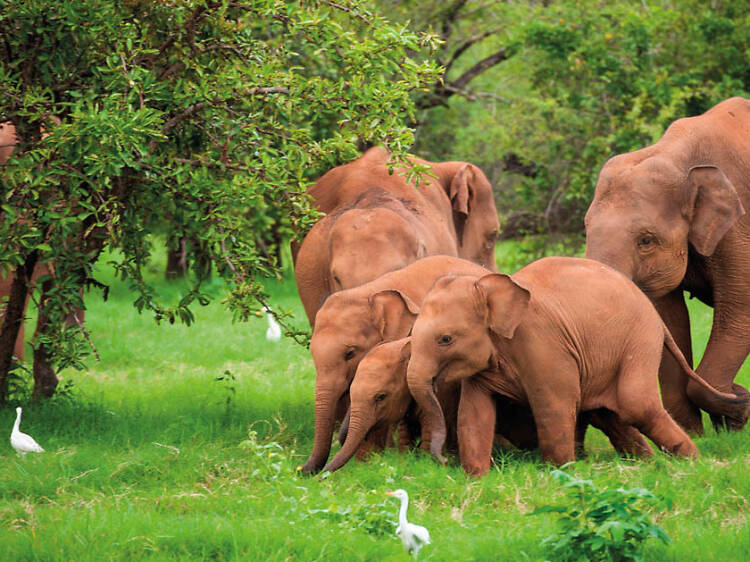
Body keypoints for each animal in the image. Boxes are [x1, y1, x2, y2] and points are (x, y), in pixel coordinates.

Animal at [406, 258, 750, 472]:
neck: (487, 286)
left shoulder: (543, 344)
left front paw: (562, 473)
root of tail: (653, 313)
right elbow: (473, 413)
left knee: (635, 404)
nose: (442, 462)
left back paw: (693, 462)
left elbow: (554, 404)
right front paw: (477, 479)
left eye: (445, 339)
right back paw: (649, 464)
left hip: (639, 339)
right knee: (608, 415)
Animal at [588, 95, 750, 434]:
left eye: (646, 240)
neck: (676, 155)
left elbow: (739, 308)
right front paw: (697, 431)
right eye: (585, 229)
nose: (740, 392)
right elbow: (667, 319)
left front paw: (737, 409)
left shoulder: (740, 226)